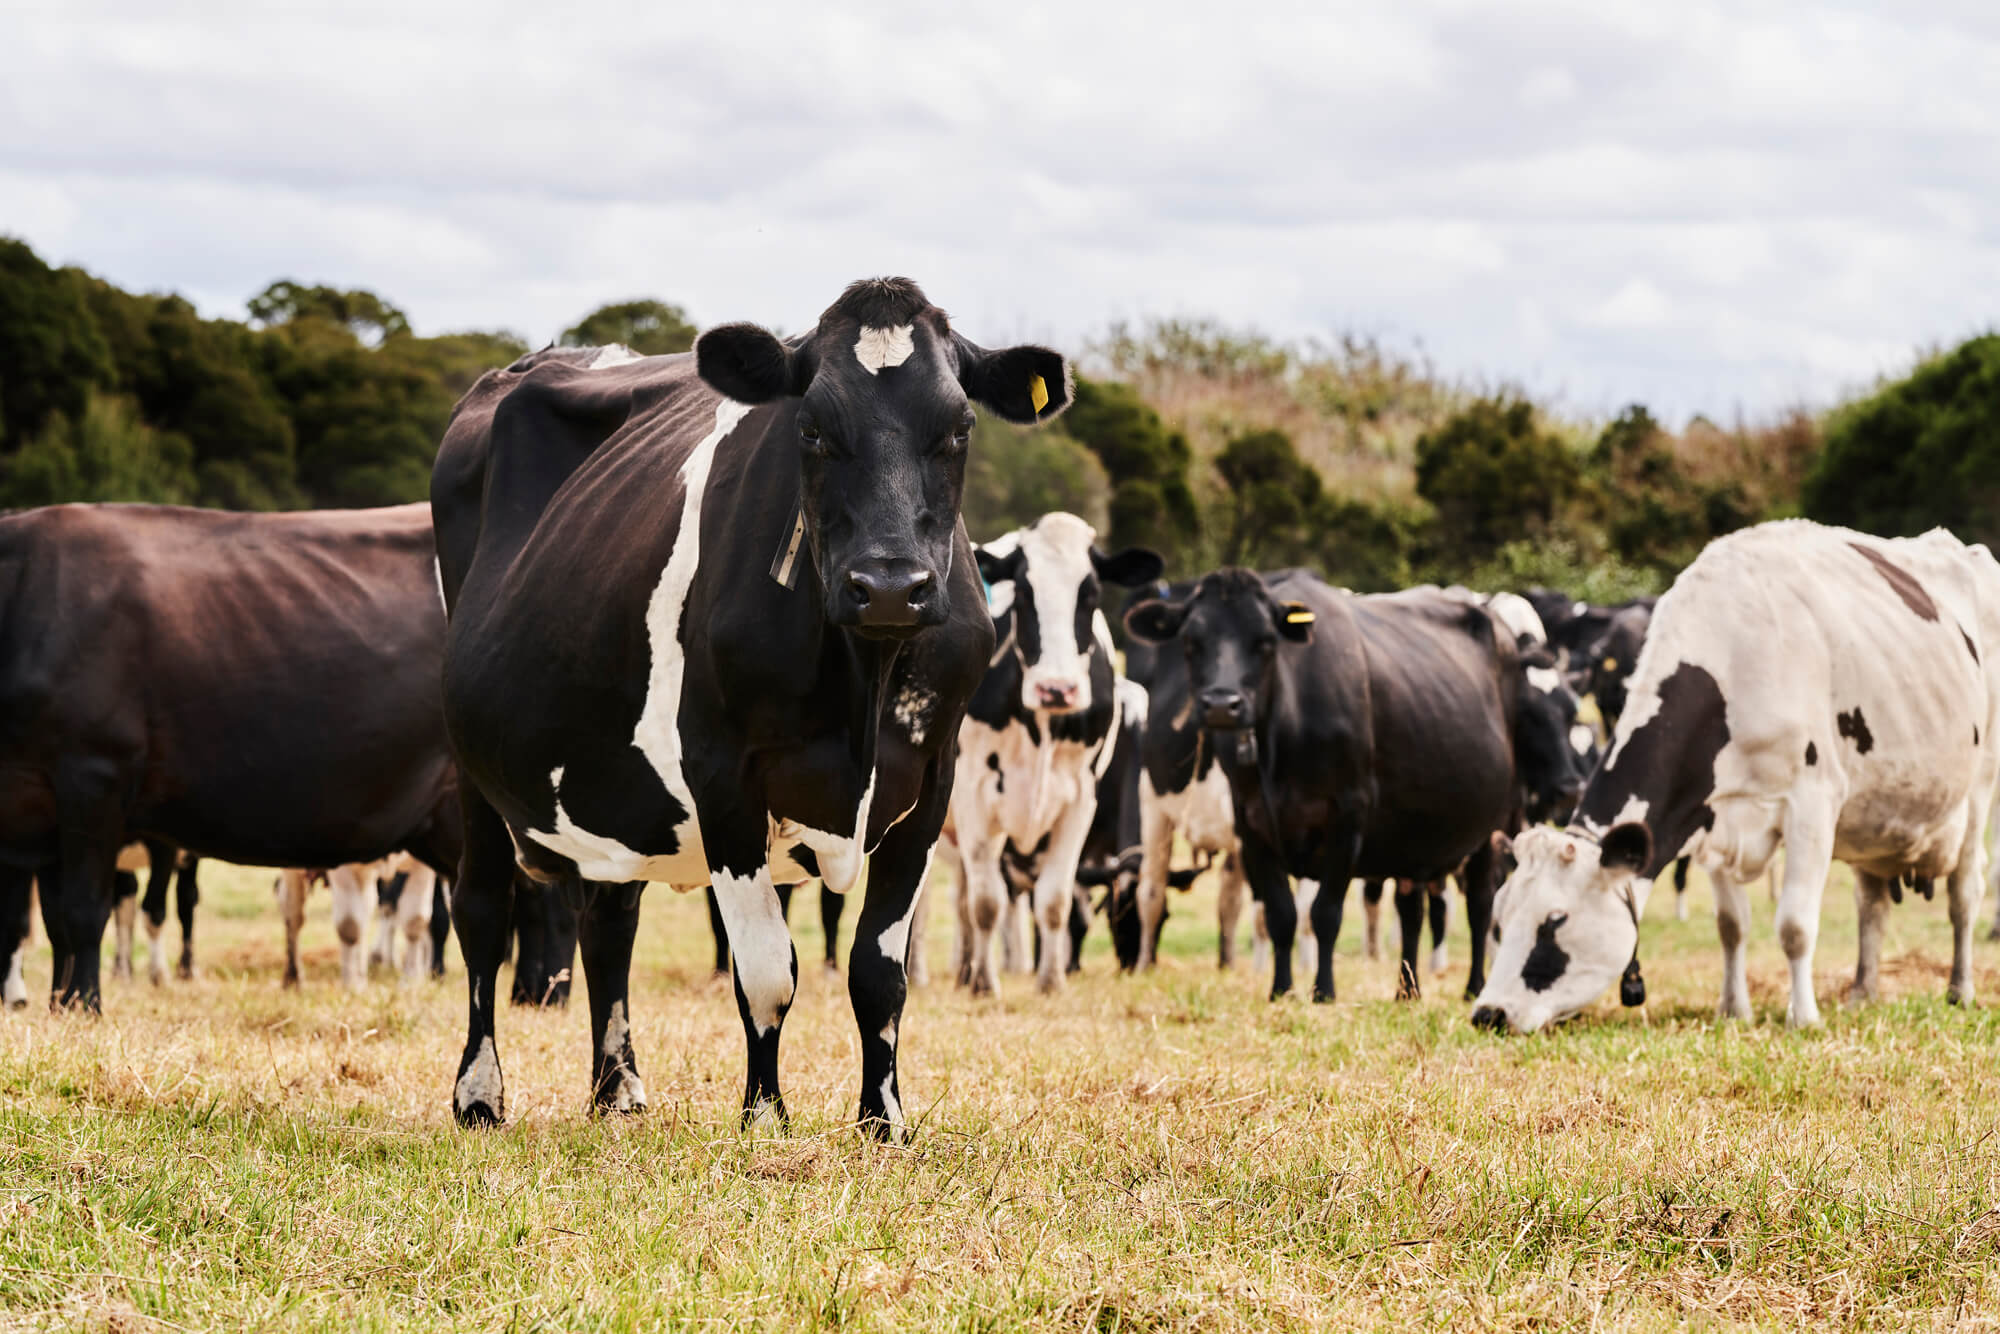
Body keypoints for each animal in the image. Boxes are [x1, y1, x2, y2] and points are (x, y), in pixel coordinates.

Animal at [0, 504, 460, 1012]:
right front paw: (59, 1004)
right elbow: (53, 922)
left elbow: (82, 911)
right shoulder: (42, 809)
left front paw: (84, 1006)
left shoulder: (92, 775)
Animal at [432, 276, 1072, 1136]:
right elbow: (768, 971)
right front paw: (764, 1117)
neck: (863, 686)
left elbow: (879, 975)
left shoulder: (932, 781)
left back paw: (617, 1090)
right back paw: (480, 1094)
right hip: (471, 760)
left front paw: (884, 1121)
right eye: (811, 428)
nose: (890, 586)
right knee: (480, 913)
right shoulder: (723, 776)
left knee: (609, 922)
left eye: (959, 428)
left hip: (613, 779)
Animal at [948, 516, 1168, 996]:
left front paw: (1050, 981)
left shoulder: (1079, 800)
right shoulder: (974, 795)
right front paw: (986, 985)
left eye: (1091, 594)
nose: (1057, 688)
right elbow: (987, 902)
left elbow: (1054, 900)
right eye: (1023, 593)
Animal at [1128, 572, 1576, 1000]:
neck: (1283, 737)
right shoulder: (1251, 824)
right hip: (1418, 832)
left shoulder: (1347, 818)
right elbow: (1280, 914)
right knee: (1411, 908)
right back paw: (1406, 991)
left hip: (1494, 826)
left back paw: (1474, 987)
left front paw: (1323, 991)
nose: (1222, 704)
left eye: (1265, 642)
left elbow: (1324, 914)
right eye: (1191, 641)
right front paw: (1281, 989)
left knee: (1482, 904)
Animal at [1472, 520, 2000, 1032]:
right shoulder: (1712, 812)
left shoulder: (1812, 805)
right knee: (1871, 903)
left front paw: (1804, 1017)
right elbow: (1731, 924)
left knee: (1964, 895)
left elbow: (1795, 925)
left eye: (1553, 921)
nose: (1488, 1013)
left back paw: (1960, 989)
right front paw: (1733, 1009)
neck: (1732, 660)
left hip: (1978, 790)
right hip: (1875, 813)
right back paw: (1862, 992)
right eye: (1501, 916)